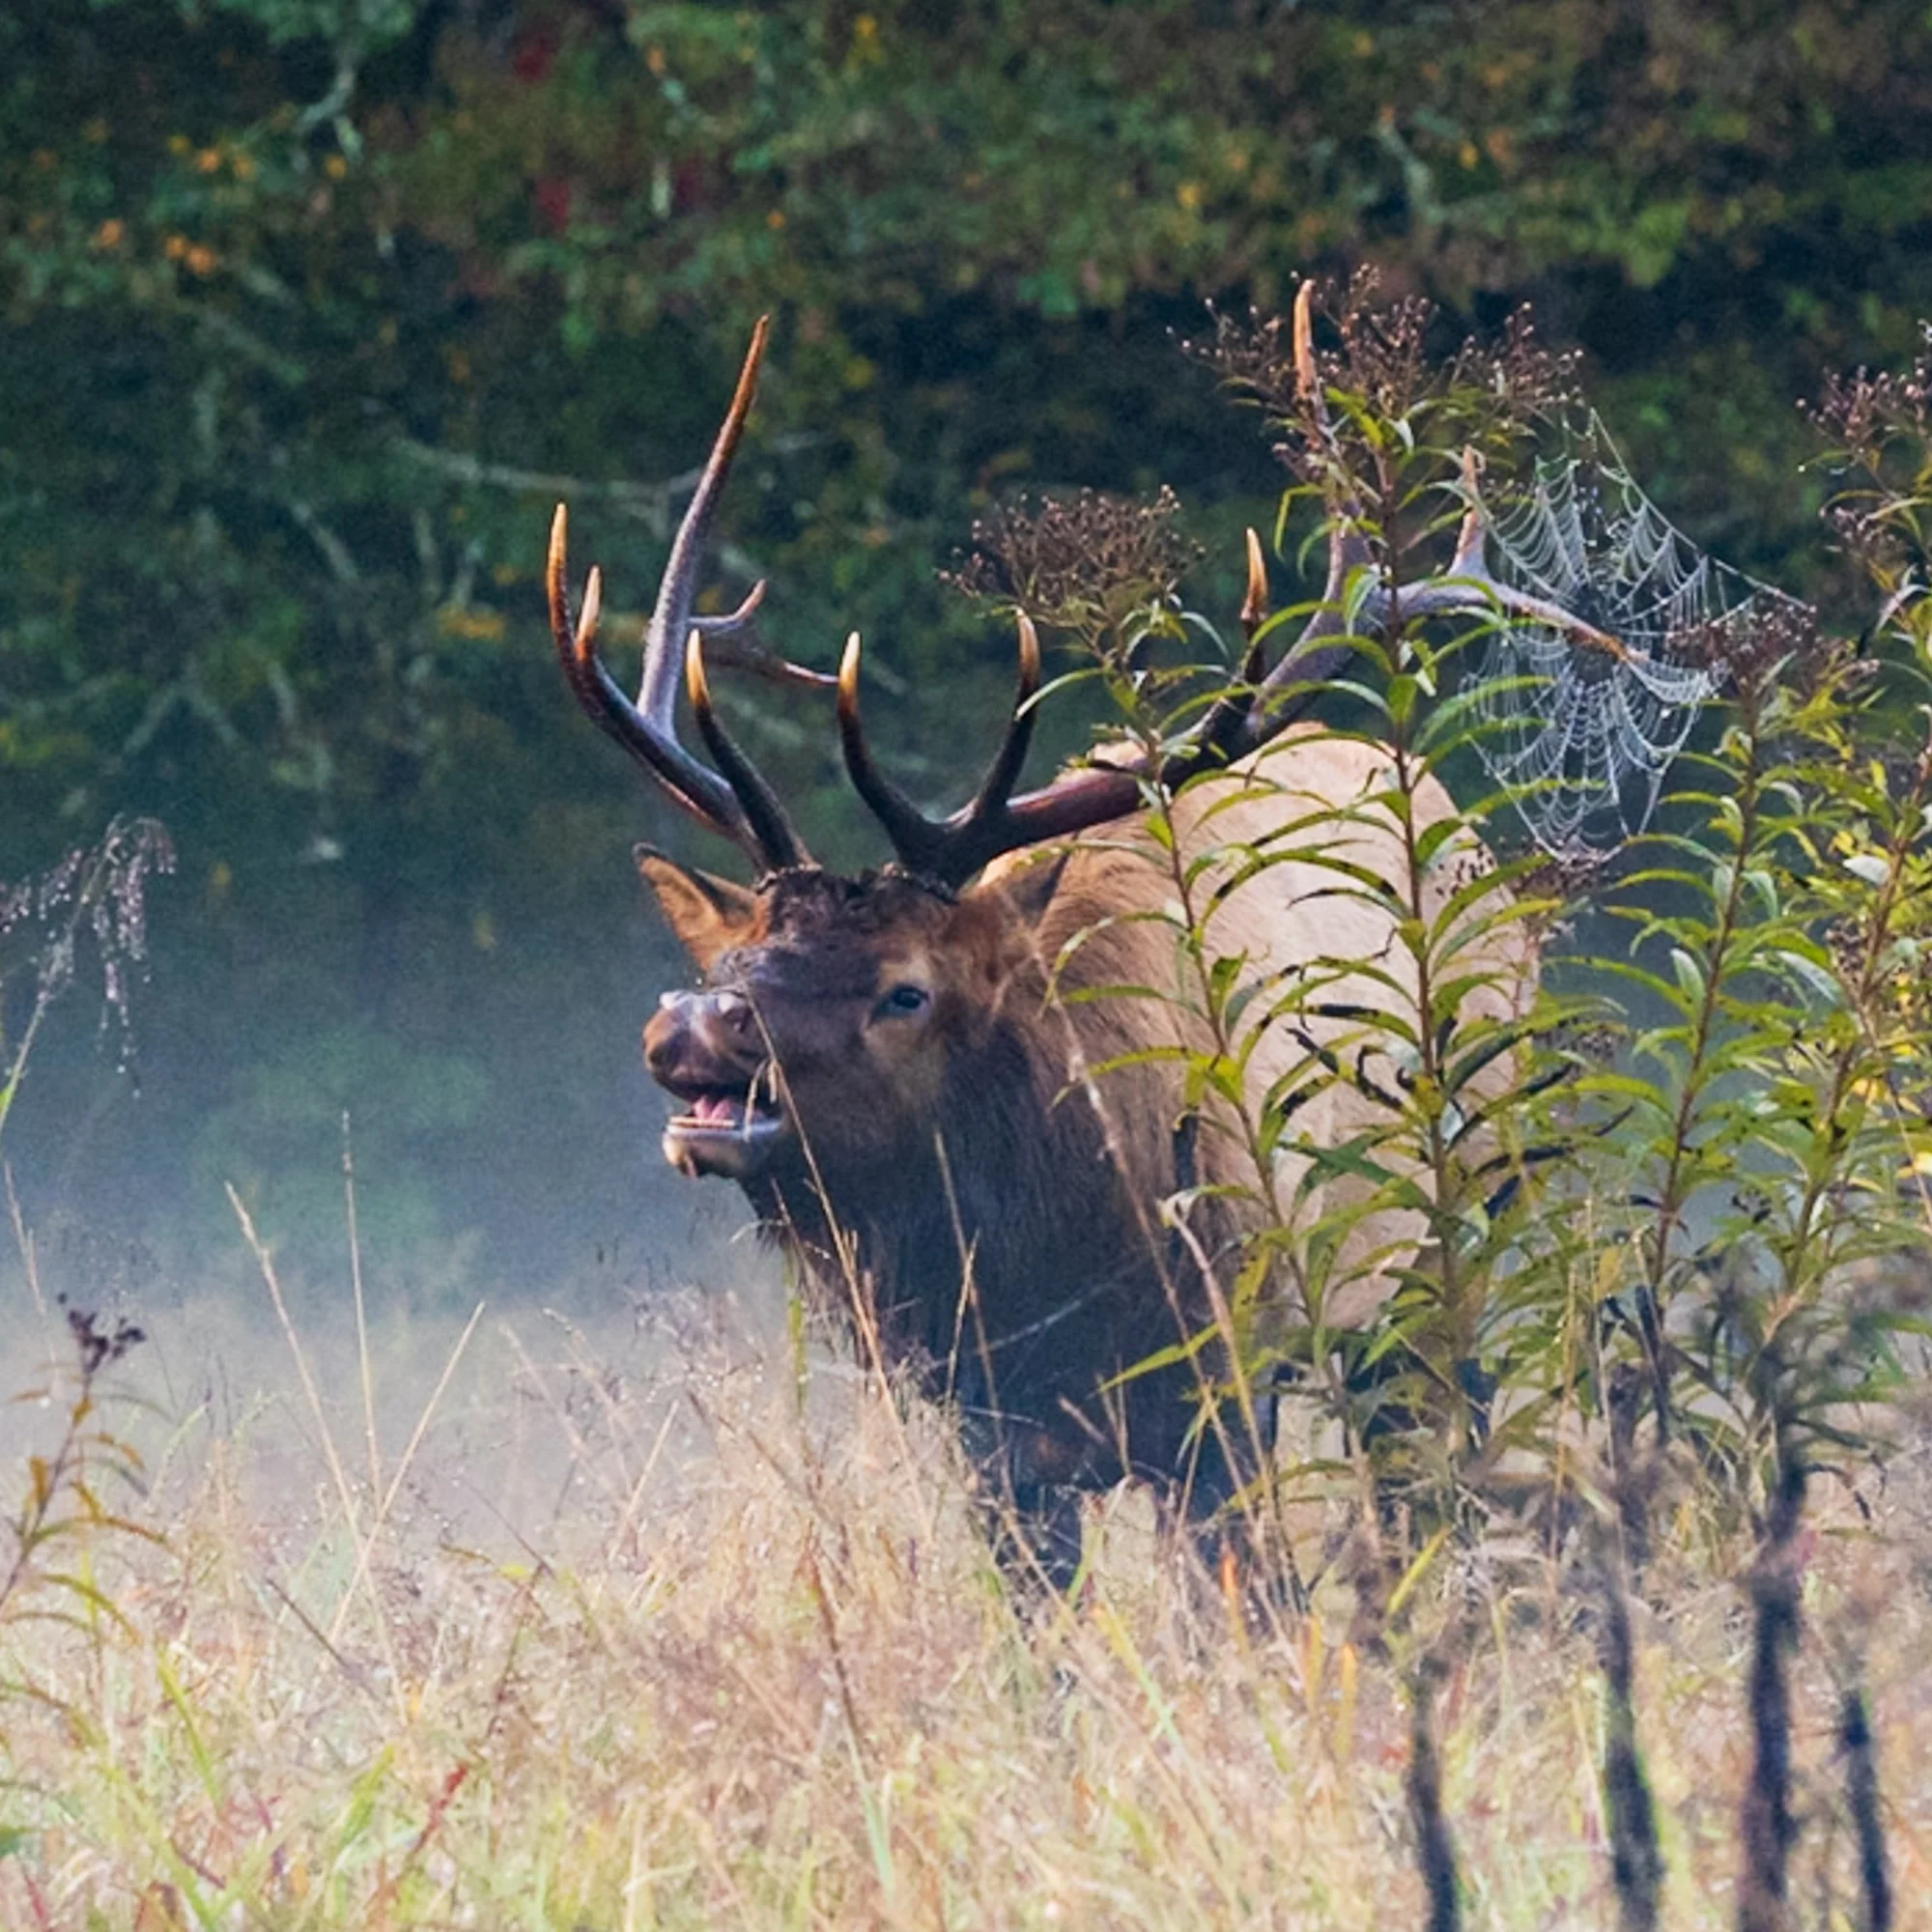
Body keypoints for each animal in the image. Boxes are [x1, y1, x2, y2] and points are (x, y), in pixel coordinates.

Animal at [545, 288, 1601, 1555]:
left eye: (905, 987)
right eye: (742, 949)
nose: (693, 1021)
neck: (1042, 1288)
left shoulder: (1224, 1377)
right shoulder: (989, 1443)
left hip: (1455, 1235)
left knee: (1430, 1465)